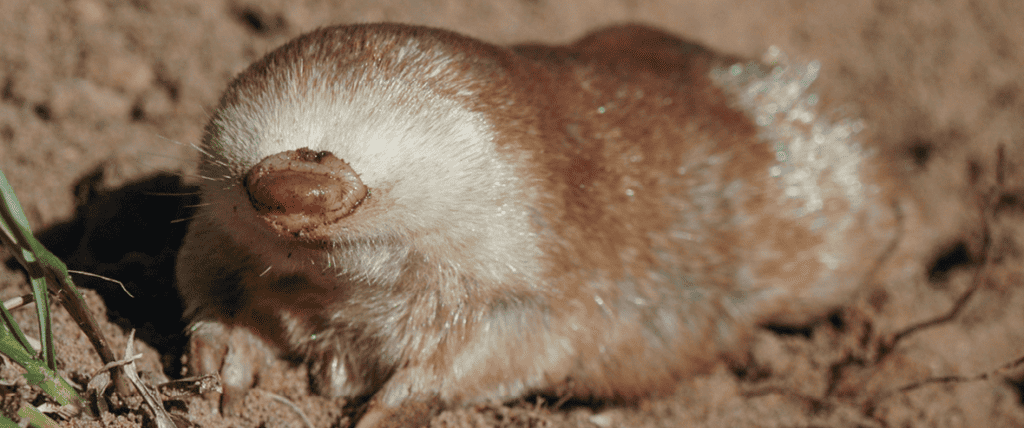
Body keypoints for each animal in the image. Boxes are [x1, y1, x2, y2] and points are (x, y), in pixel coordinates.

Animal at [175, 23, 905, 427]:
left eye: (323, 155)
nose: (289, 187)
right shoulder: (217, 234)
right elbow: (206, 286)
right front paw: (222, 367)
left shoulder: (537, 273)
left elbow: (501, 349)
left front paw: (385, 409)